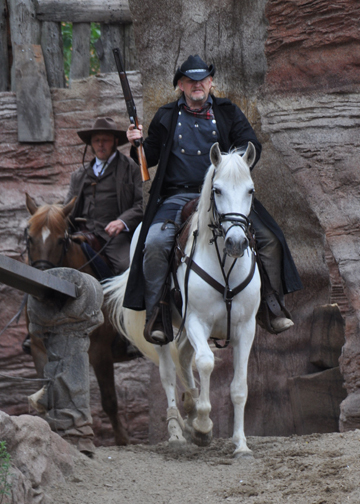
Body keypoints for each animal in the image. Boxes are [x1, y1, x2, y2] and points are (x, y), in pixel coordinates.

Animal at [23, 193, 136, 444]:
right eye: (30, 238)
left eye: (60, 240)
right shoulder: (38, 347)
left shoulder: (99, 351)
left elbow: (109, 400)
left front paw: (122, 439)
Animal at [102, 142, 260, 456]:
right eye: (217, 190)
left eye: (250, 190)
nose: (237, 243)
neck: (225, 266)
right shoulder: (197, 322)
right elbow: (207, 362)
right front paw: (202, 425)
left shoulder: (246, 327)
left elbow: (239, 387)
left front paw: (240, 444)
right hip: (161, 327)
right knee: (169, 372)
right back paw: (177, 429)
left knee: (185, 360)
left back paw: (190, 406)